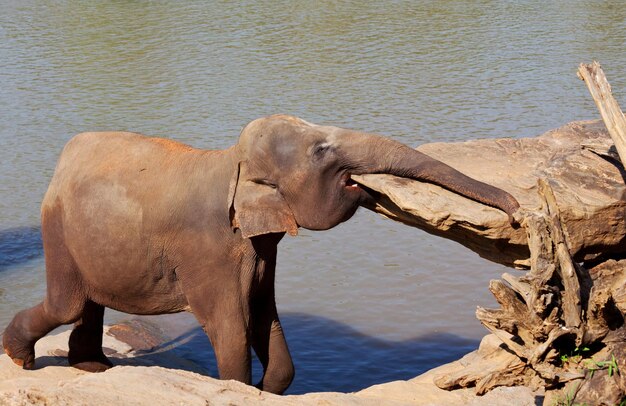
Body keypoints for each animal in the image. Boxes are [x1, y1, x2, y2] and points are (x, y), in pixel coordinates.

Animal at [1, 114, 516, 394]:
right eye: (322, 151)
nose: (515, 215)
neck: (233, 162)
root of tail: (64, 158)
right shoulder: (209, 246)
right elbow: (229, 324)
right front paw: (242, 387)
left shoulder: (261, 248)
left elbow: (264, 312)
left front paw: (270, 389)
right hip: (57, 231)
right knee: (68, 303)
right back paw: (21, 358)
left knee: (87, 305)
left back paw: (91, 368)